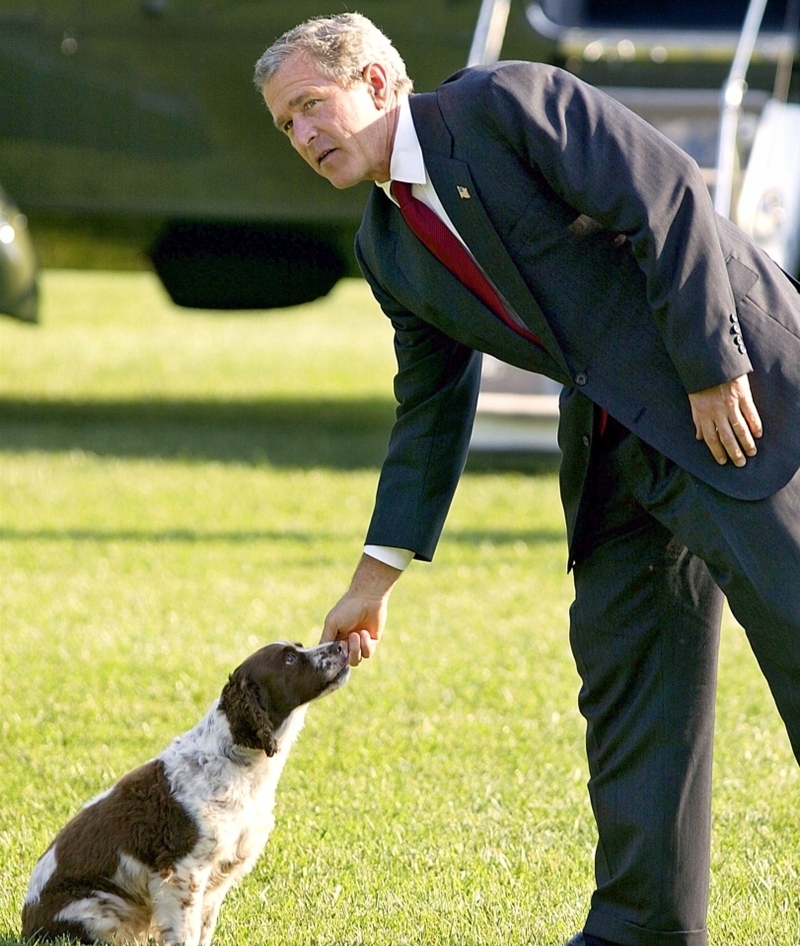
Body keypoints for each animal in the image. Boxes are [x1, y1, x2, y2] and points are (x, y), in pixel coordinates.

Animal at [19, 636, 346, 940]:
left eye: (300, 646)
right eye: (289, 659)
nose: (341, 646)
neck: (236, 763)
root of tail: (27, 925)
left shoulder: (217, 875)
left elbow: (203, 929)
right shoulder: (184, 871)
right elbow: (185, 932)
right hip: (102, 911)